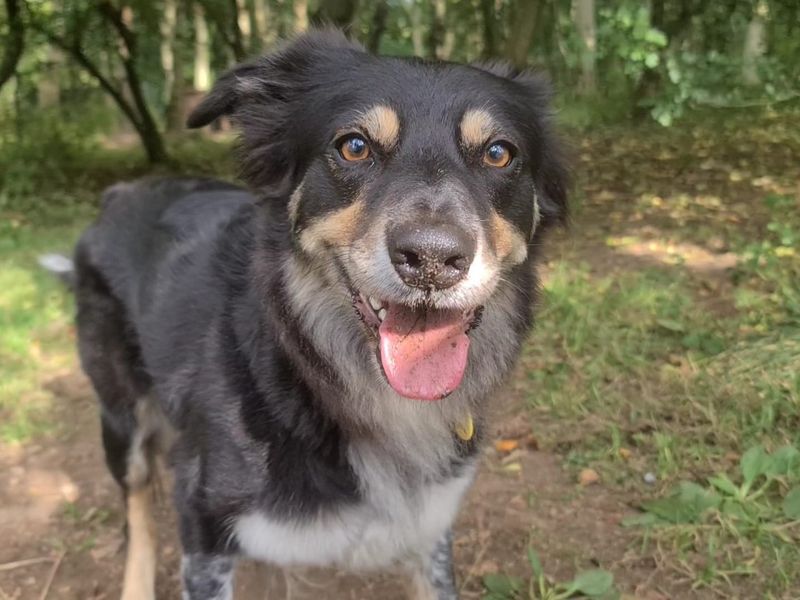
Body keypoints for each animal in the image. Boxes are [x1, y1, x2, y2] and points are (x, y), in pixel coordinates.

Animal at [70, 29, 568, 600]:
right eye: (354, 146)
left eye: (498, 153)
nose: (432, 259)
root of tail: (119, 193)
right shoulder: (204, 528)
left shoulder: (428, 528)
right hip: (121, 417)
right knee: (138, 507)